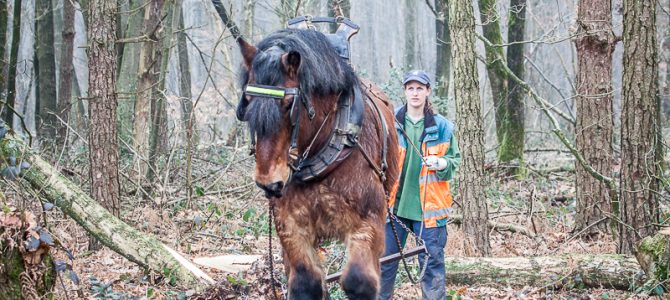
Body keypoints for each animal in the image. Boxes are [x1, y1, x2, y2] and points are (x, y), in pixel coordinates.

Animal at [236, 27, 400, 298]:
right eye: (246, 103)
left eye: (288, 104)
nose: (269, 183)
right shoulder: (290, 226)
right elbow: (306, 282)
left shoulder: (369, 222)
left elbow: (359, 280)